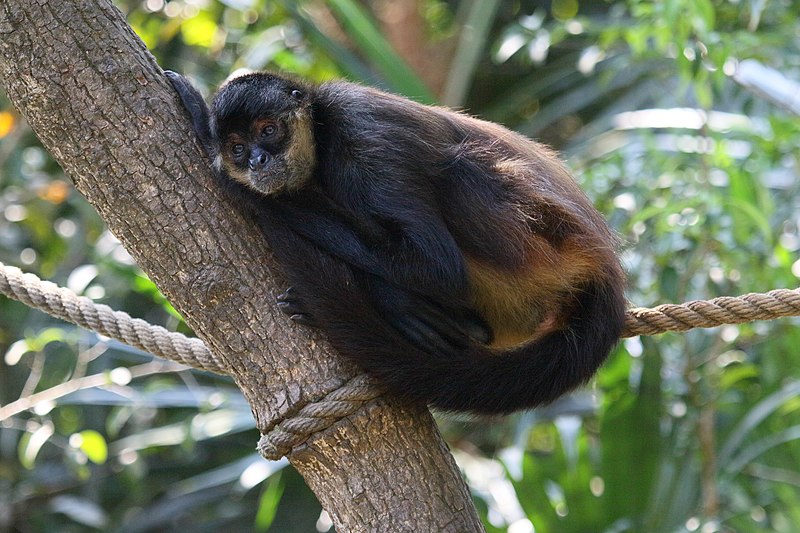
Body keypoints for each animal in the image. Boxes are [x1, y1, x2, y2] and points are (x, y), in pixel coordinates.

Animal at [166, 68, 628, 414]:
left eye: (268, 130)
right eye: (238, 148)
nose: (257, 161)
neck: (322, 131)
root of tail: (601, 265)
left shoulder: (361, 135)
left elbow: (438, 267)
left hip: (536, 244)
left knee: (456, 171)